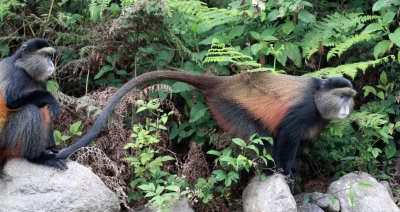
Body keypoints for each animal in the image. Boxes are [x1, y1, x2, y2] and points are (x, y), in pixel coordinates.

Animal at [0, 38, 356, 181]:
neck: (319, 96)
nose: (347, 108)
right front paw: (284, 173)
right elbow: (284, 139)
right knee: (258, 137)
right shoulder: (304, 112)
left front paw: (294, 169)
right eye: (342, 96)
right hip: (230, 108)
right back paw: (266, 170)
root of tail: (224, 83)